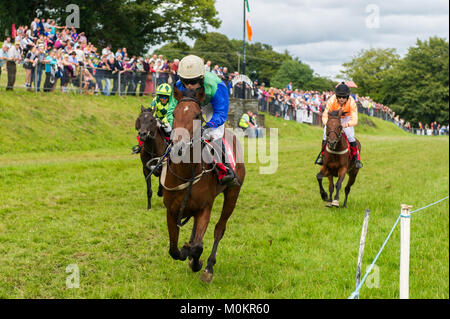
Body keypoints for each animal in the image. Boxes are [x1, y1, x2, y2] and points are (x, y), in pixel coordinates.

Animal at [163, 86, 246, 284]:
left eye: (196, 115)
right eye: (174, 113)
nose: (178, 147)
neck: (185, 174)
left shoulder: (204, 208)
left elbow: (198, 246)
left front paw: (196, 260)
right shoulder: (171, 211)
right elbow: (174, 250)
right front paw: (188, 254)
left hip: (233, 193)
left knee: (219, 229)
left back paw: (208, 266)